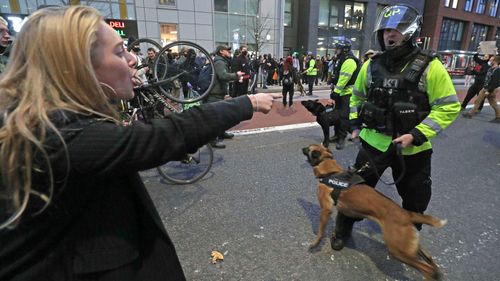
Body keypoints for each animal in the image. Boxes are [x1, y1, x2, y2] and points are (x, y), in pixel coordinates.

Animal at [300, 143, 446, 278]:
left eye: (308, 149)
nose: (302, 148)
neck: (329, 170)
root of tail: (406, 214)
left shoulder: (325, 210)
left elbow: (320, 232)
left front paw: (315, 244)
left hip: (398, 250)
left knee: (427, 269)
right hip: (408, 246)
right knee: (429, 258)